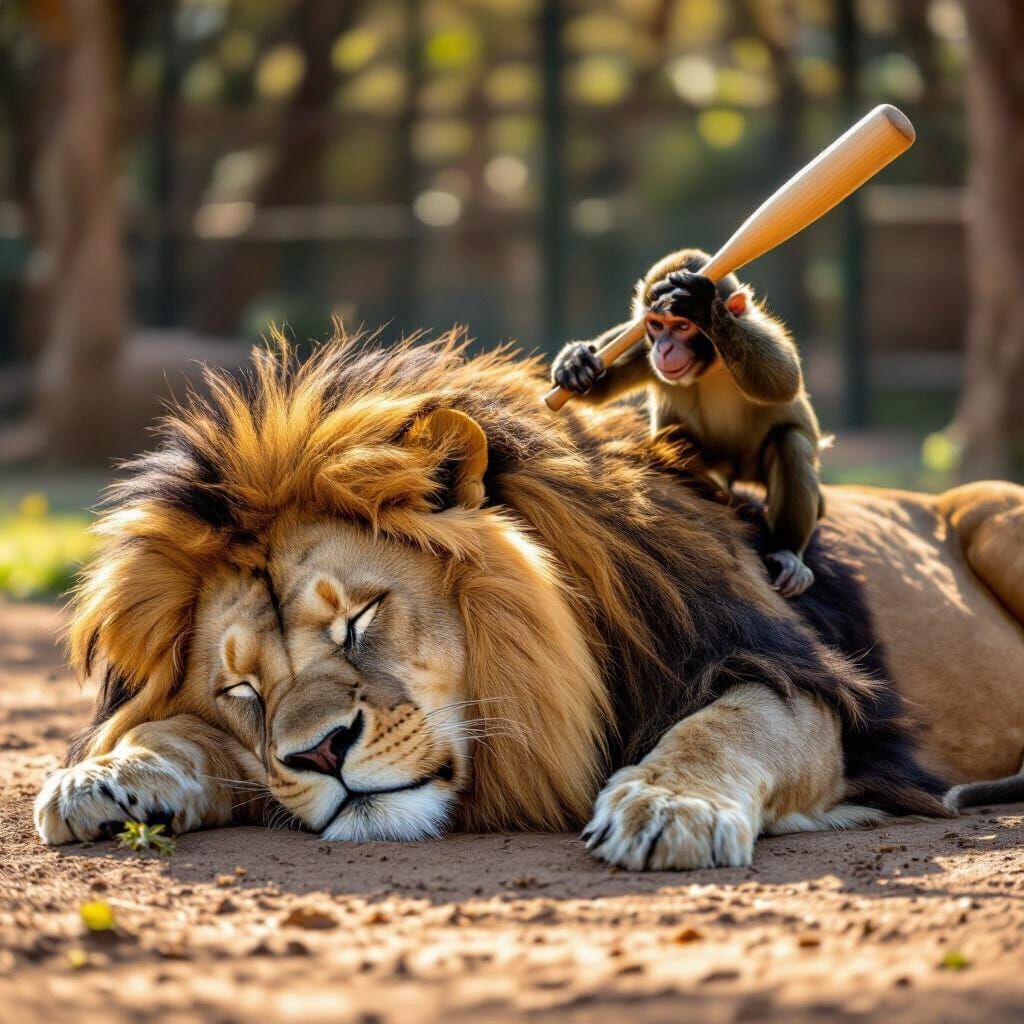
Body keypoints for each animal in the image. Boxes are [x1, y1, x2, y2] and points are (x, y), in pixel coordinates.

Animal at [34, 332, 1024, 870]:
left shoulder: (795, 681)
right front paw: (105, 775)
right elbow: (179, 734)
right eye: (243, 689)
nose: (320, 753)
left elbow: (727, 725)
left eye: (359, 619)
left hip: (994, 517)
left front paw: (666, 805)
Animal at [551, 248, 824, 598]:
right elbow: (599, 388)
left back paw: (788, 550)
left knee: (791, 443)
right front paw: (575, 360)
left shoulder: (755, 326)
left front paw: (703, 306)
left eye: (682, 326)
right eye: (656, 325)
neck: (714, 363)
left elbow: (783, 381)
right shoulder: (641, 346)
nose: (665, 348)